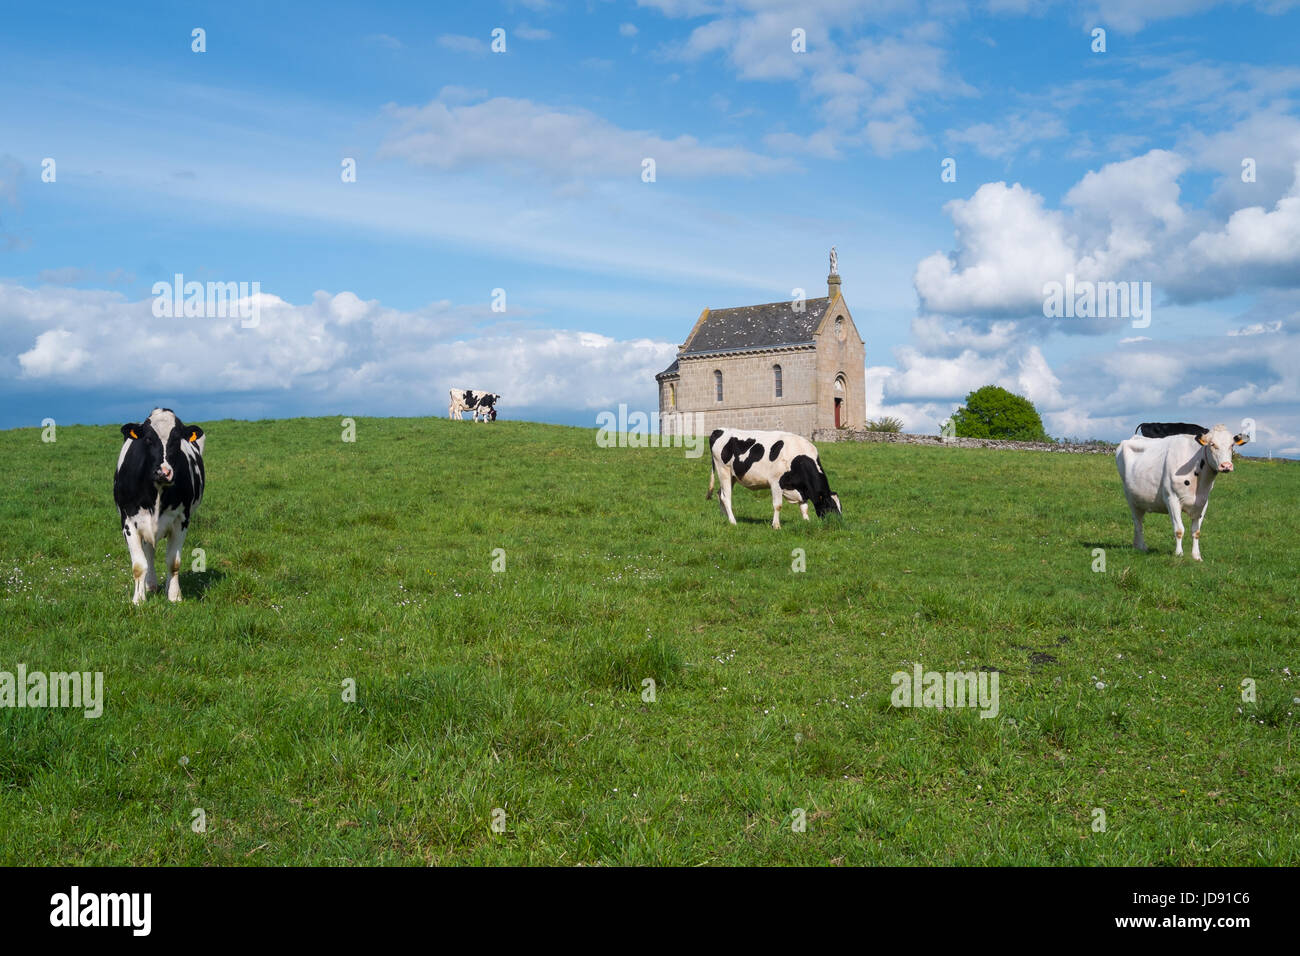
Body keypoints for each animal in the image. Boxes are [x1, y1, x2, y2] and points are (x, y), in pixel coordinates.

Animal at [113, 408, 205, 600]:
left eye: (176, 439)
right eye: (148, 439)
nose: (163, 472)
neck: (157, 490)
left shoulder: (181, 521)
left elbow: (173, 562)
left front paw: (174, 596)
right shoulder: (128, 522)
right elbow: (139, 565)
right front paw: (138, 599)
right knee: (149, 553)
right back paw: (150, 586)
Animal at [702, 429, 842, 528]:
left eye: (840, 507)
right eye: (831, 506)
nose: (838, 523)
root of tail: (719, 430)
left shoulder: (801, 489)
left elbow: (804, 507)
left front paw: (807, 522)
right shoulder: (776, 482)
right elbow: (778, 505)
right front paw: (776, 525)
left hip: (732, 476)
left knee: (720, 494)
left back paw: (724, 517)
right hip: (723, 470)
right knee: (726, 497)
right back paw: (732, 521)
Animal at [1107, 421, 1248, 561]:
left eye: (1232, 445)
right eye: (1212, 444)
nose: (1226, 466)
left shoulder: (1203, 502)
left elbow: (1196, 532)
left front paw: (1197, 556)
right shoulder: (1172, 499)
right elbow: (1179, 530)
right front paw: (1179, 554)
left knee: (1139, 522)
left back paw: (1137, 546)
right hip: (1130, 497)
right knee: (1137, 522)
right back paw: (1141, 547)